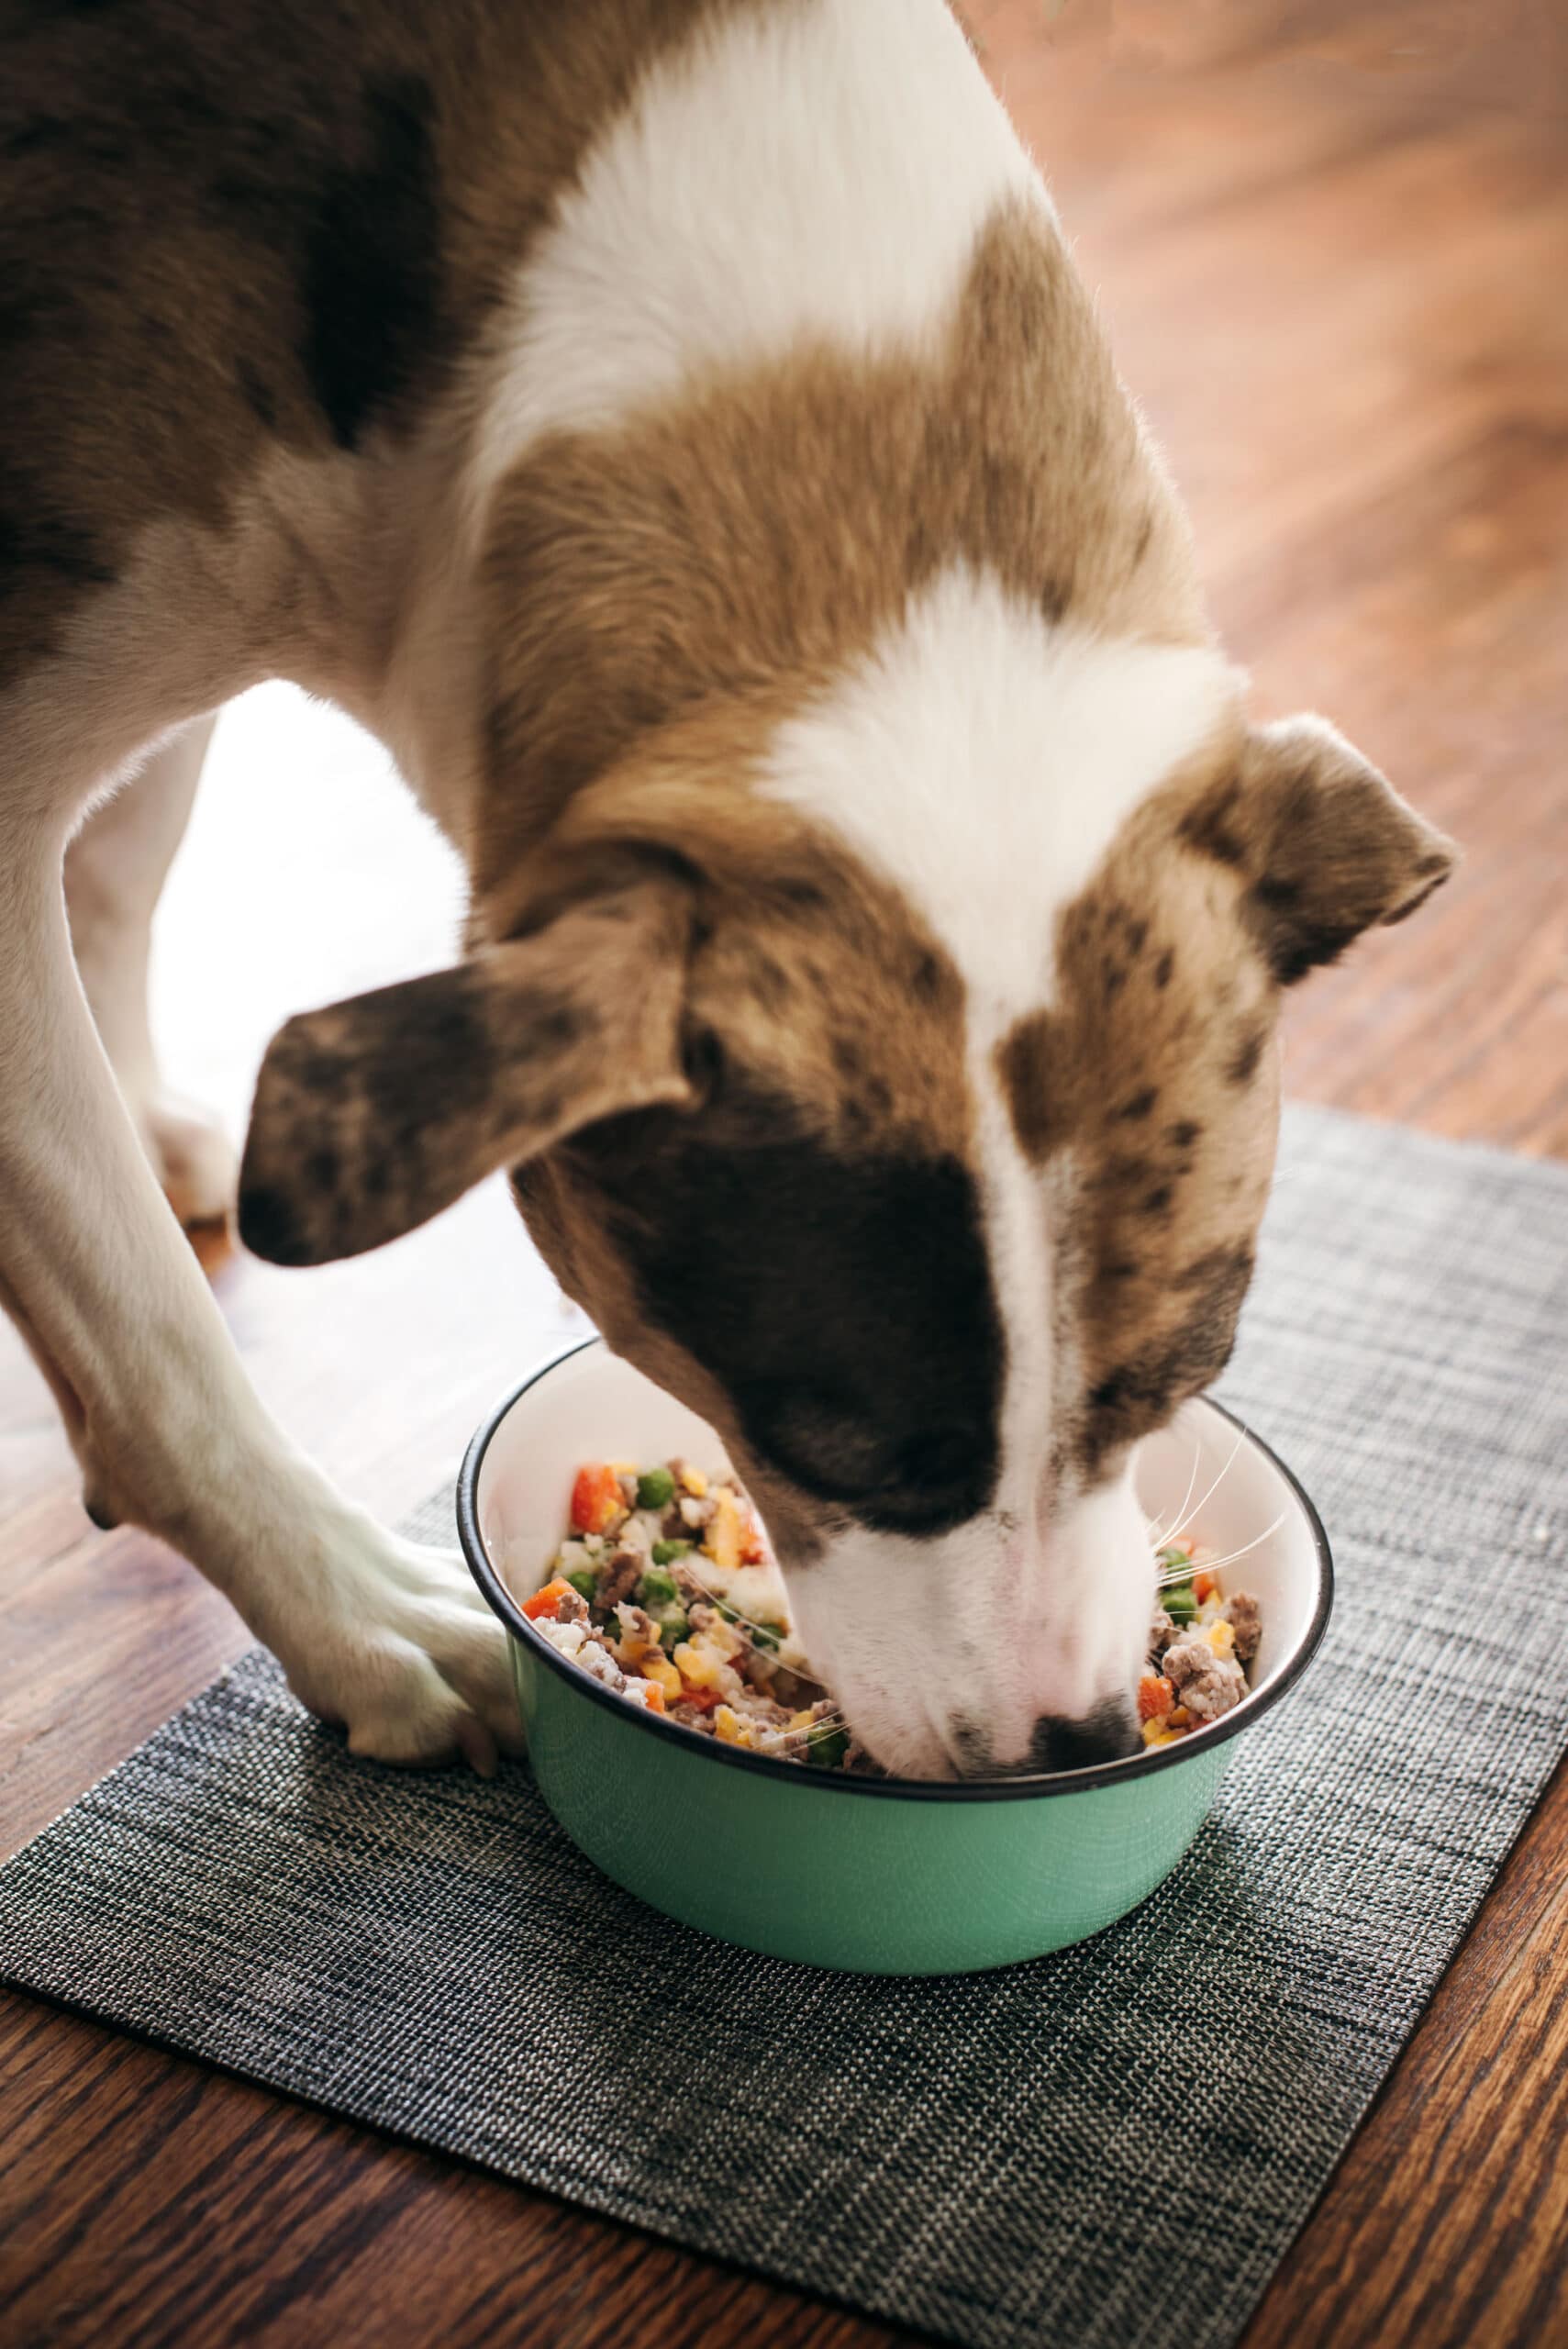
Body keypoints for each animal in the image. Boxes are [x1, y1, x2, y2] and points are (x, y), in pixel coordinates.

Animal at [0, 0, 1455, 1776]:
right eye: (849, 1453)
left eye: (1173, 1387)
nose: (1078, 1749)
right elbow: (143, 1324)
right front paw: (351, 1608)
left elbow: (121, 858)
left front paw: (133, 1101)